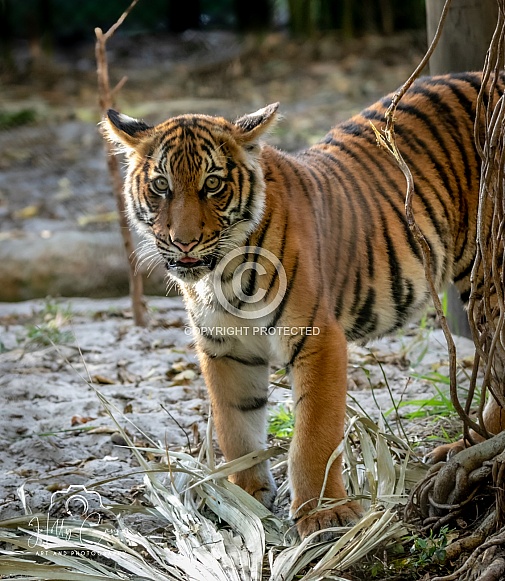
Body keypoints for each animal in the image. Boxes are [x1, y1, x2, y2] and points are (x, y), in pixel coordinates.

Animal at [103, 72, 504, 540]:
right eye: (161, 186)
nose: (183, 242)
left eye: (213, 185)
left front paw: (324, 514)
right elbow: (236, 427)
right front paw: (247, 498)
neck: (220, 275)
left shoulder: (318, 339)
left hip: (488, 273)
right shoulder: (225, 349)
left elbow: (314, 434)